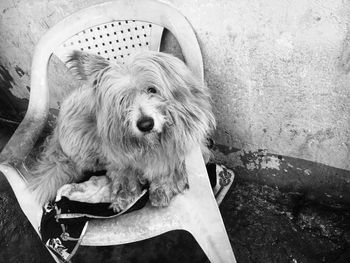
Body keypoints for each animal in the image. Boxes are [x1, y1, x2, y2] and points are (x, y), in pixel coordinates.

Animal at [29, 50, 216, 212]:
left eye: (152, 90)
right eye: (122, 100)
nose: (145, 124)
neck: (150, 143)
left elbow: (171, 168)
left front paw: (162, 188)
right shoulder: (117, 158)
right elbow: (122, 172)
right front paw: (123, 193)